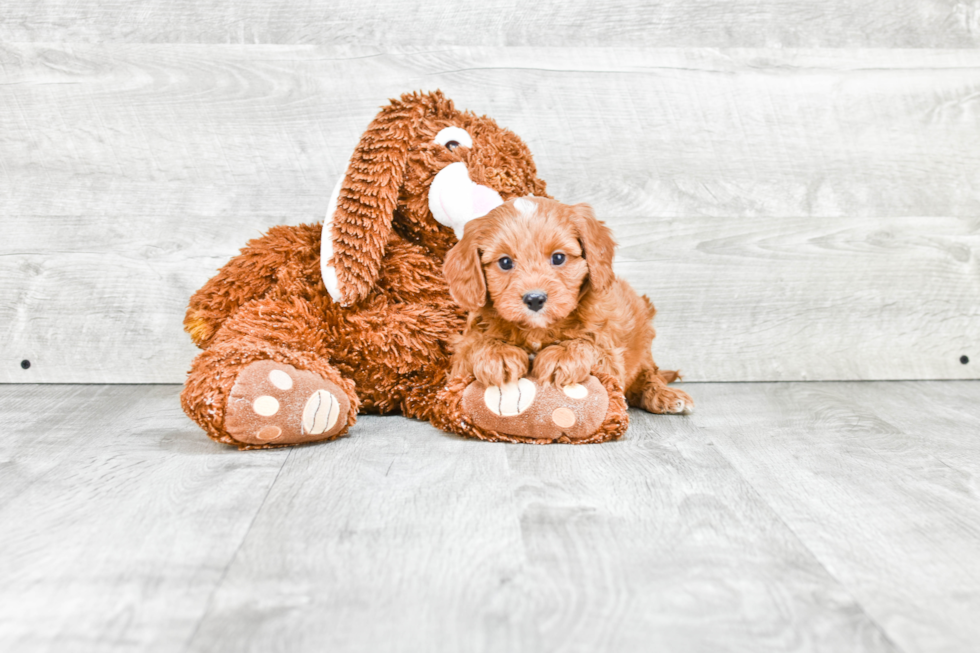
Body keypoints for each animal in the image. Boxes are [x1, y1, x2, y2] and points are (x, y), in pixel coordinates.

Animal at [442, 196, 688, 416]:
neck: (537, 330)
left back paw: (665, 395)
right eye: (505, 262)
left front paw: (562, 355)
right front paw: (498, 352)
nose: (534, 299)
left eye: (558, 258)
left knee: (649, 375)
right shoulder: (459, 361)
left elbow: (590, 345)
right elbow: (473, 346)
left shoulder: (610, 356)